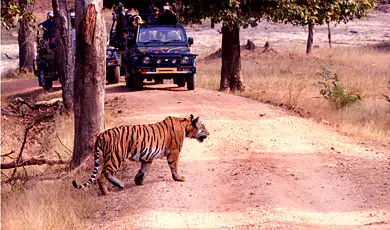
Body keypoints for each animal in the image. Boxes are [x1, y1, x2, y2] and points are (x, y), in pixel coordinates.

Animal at [71, 114, 209, 195]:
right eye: (203, 126)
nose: (209, 133)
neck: (185, 125)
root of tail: (100, 135)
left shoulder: (148, 157)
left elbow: (143, 169)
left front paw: (138, 181)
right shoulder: (174, 151)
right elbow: (174, 166)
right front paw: (179, 178)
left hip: (113, 158)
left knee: (107, 174)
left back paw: (120, 184)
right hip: (115, 157)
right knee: (103, 175)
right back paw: (107, 192)